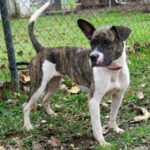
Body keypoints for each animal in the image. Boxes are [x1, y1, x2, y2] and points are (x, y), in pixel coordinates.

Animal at [22, 1, 131, 146]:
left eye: (107, 42)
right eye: (92, 43)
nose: (93, 57)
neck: (113, 70)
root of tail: (42, 49)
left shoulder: (118, 95)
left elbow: (113, 115)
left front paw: (115, 129)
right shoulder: (93, 100)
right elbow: (97, 126)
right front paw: (102, 142)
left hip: (54, 84)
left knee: (45, 98)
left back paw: (51, 114)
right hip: (38, 86)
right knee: (26, 105)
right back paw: (28, 127)